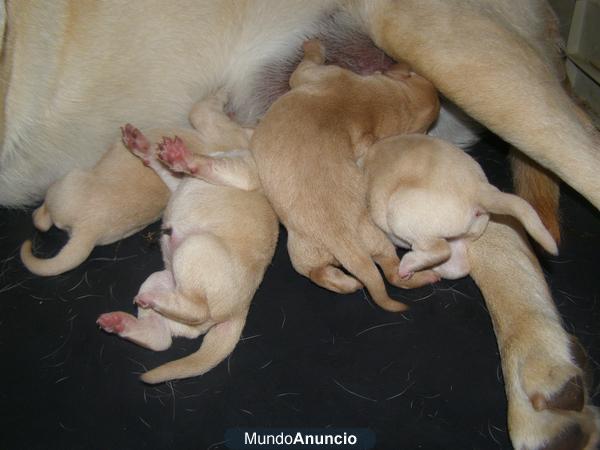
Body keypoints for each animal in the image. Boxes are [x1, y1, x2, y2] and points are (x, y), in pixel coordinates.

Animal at [97, 119, 278, 384]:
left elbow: (209, 164)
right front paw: (143, 145)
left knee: (196, 309)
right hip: (161, 280)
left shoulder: (243, 172)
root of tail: (238, 311)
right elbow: (165, 168)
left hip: (195, 247)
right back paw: (122, 323)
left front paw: (183, 156)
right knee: (161, 338)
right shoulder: (178, 181)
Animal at [248, 39, 440, 312]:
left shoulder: (314, 74)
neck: (381, 101)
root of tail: (343, 239)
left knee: (320, 274)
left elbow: (306, 64)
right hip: (369, 240)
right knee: (390, 273)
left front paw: (313, 45)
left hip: (302, 249)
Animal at [364, 134, 560, 282]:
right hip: (461, 236)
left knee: (440, 250)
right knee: (460, 265)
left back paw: (408, 265)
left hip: (401, 215)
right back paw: (433, 270)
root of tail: (478, 189)